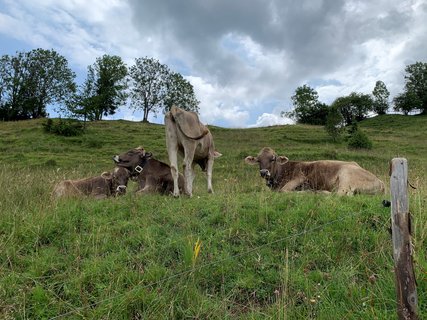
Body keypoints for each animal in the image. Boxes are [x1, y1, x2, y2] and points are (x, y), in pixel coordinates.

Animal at [246, 147, 386, 195]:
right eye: (258, 160)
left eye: (273, 159)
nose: (264, 172)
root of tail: (381, 182)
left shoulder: (300, 177)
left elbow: (284, 190)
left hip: (346, 175)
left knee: (338, 195)